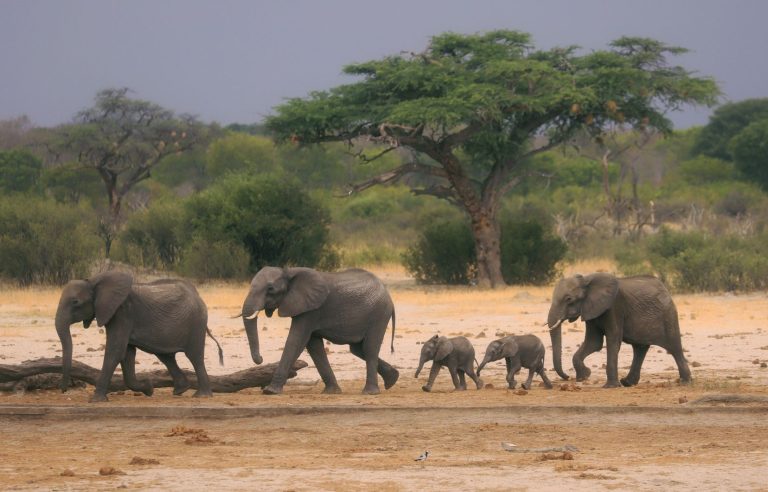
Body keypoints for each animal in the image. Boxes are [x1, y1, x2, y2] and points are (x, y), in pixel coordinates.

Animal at [53, 270, 222, 402]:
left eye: (75, 302)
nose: (64, 390)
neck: (94, 282)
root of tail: (198, 295)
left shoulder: (122, 313)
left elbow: (115, 351)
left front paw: (95, 400)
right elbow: (126, 354)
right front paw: (149, 388)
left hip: (196, 323)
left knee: (194, 356)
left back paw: (202, 396)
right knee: (166, 356)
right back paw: (180, 390)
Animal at [240, 268, 400, 394]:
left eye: (270, 289)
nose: (260, 359)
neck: (289, 272)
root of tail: (388, 295)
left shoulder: (311, 311)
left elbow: (296, 340)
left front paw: (270, 391)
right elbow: (313, 346)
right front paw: (331, 392)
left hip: (378, 314)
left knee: (369, 348)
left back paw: (370, 392)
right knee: (357, 349)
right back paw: (392, 379)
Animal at [544, 272, 692, 388]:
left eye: (569, 299)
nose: (567, 377)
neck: (587, 280)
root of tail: (665, 289)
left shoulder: (614, 307)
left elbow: (613, 339)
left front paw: (610, 386)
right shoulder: (591, 309)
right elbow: (593, 343)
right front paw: (584, 376)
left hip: (668, 315)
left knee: (674, 348)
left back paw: (685, 382)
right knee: (640, 349)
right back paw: (627, 383)